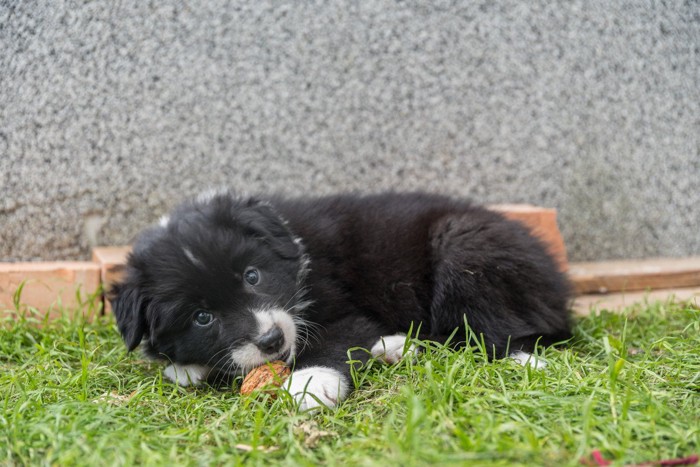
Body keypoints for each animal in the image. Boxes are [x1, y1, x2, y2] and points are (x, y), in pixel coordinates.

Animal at [112, 190, 572, 410]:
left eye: (252, 276)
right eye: (202, 317)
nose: (272, 342)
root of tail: (557, 282)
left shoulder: (342, 310)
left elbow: (331, 339)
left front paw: (311, 383)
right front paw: (185, 365)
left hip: (463, 246)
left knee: (493, 332)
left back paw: (521, 360)